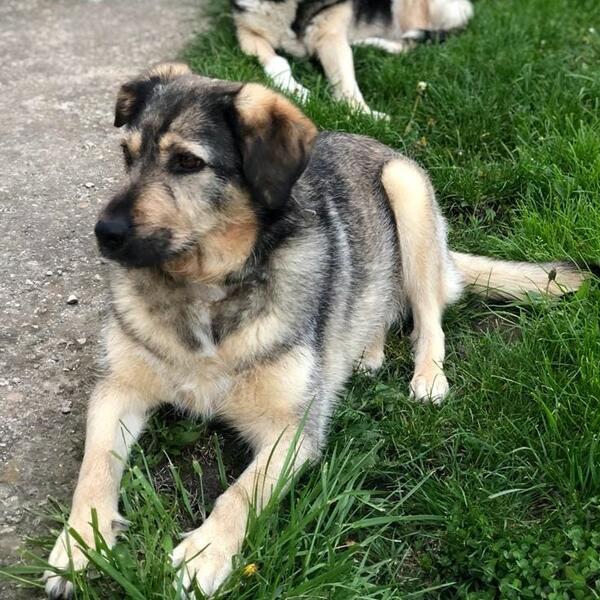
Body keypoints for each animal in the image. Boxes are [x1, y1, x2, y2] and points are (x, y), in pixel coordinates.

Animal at [44, 63, 590, 598]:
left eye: (186, 162)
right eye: (126, 155)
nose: (105, 234)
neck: (205, 289)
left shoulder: (293, 429)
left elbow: (241, 492)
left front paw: (203, 555)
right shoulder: (117, 390)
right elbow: (94, 468)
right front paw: (80, 543)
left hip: (407, 192)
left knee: (428, 315)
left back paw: (428, 376)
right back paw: (366, 352)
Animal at [232, 0, 474, 117]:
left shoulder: (332, 37)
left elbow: (347, 82)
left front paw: (363, 114)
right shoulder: (247, 33)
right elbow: (278, 61)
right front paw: (296, 90)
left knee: (410, 41)